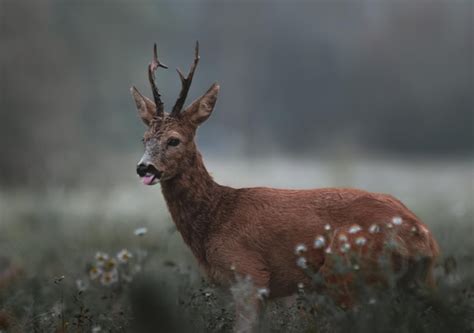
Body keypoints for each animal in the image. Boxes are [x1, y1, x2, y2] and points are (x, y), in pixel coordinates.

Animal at [130, 42, 440, 330]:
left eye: (174, 140)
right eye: (144, 139)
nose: (145, 167)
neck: (215, 219)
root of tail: (423, 239)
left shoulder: (250, 274)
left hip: (347, 272)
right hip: (414, 283)